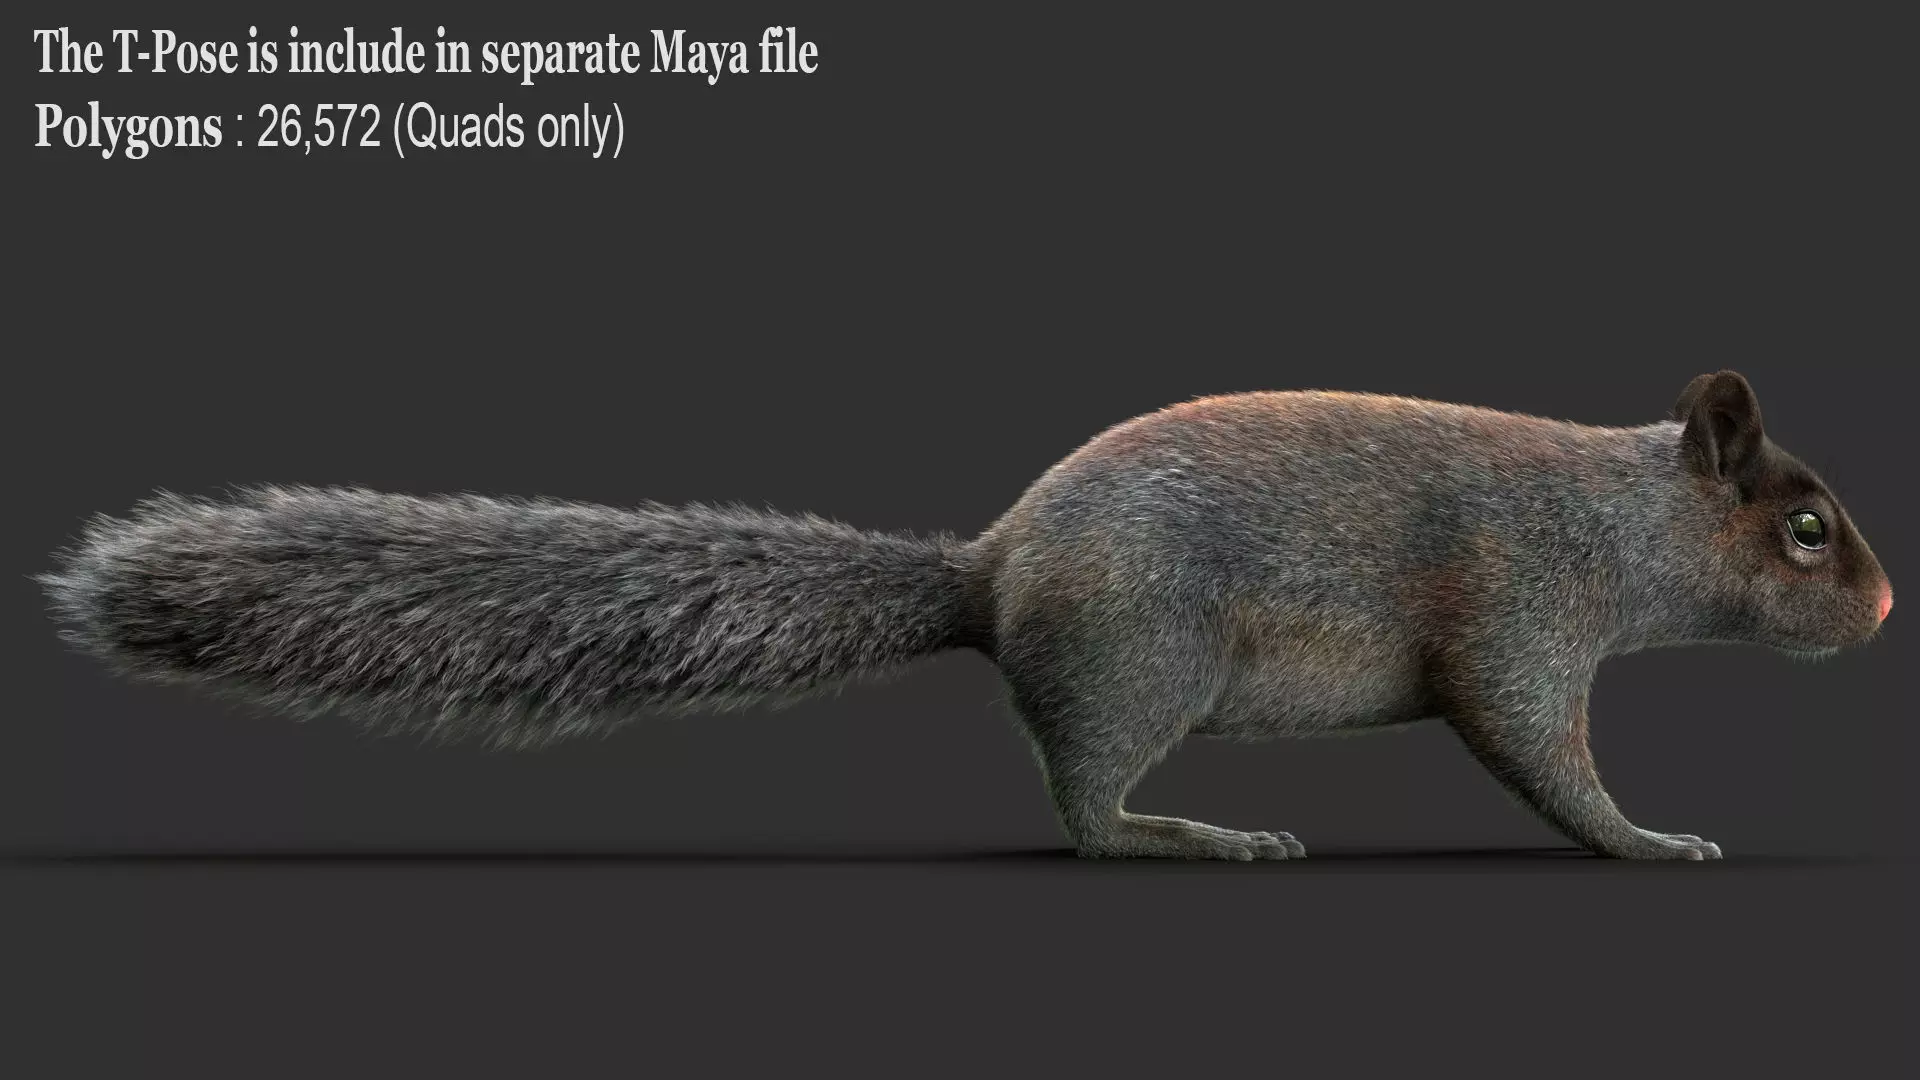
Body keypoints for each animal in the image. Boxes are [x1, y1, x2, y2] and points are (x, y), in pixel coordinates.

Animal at [40, 370, 1893, 860]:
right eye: (1807, 528)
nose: (1886, 607)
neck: (1615, 511)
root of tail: (989, 573)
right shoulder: (1517, 604)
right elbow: (1535, 752)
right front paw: (1655, 841)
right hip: (1152, 660)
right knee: (1082, 813)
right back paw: (1199, 836)